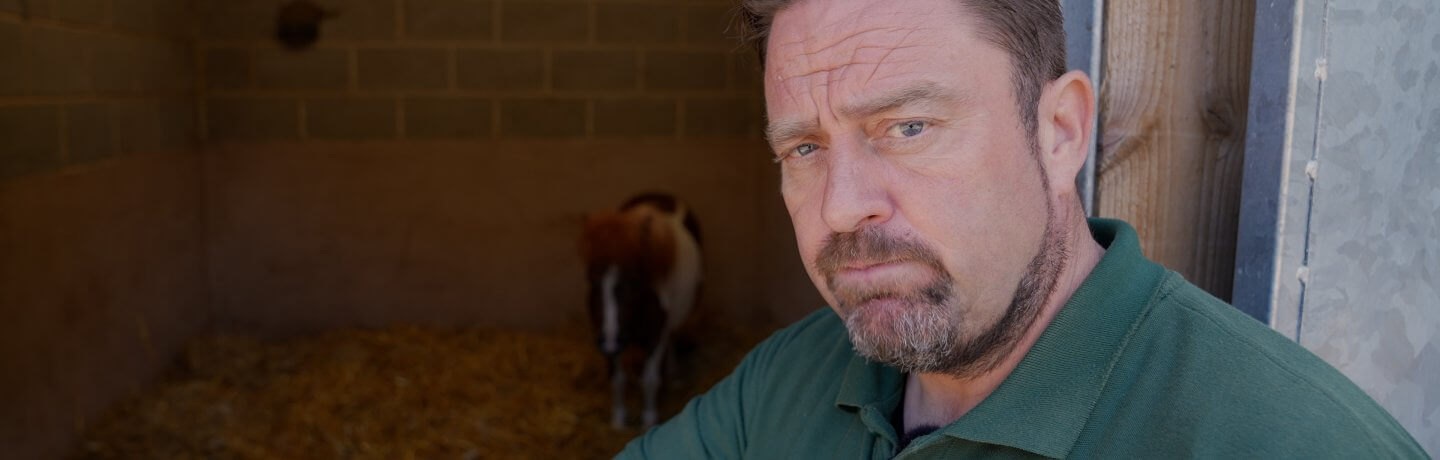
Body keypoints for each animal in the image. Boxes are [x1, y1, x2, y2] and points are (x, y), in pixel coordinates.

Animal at [578, 193, 702, 429]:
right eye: (591, 279)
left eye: (634, 279)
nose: (610, 339)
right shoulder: (611, 344)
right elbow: (617, 380)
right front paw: (618, 420)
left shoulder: (656, 335)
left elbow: (650, 379)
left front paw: (649, 420)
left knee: (672, 339)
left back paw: (672, 373)